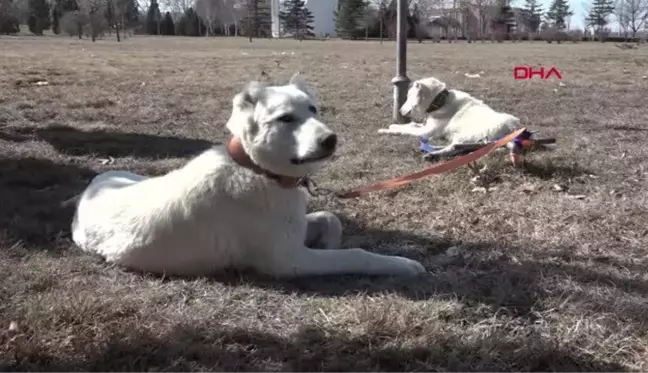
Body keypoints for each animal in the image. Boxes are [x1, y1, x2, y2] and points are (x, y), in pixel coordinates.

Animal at [374, 75, 520, 158]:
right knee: (461, 147)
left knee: (456, 148)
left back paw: (433, 154)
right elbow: (410, 125)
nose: (399, 111)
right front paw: (394, 125)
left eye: (409, 96)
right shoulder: (426, 126)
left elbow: (406, 130)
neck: (440, 101)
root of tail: (514, 129)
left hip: (469, 136)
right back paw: (433, 149)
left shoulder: (426, 131)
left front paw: (386, 130)